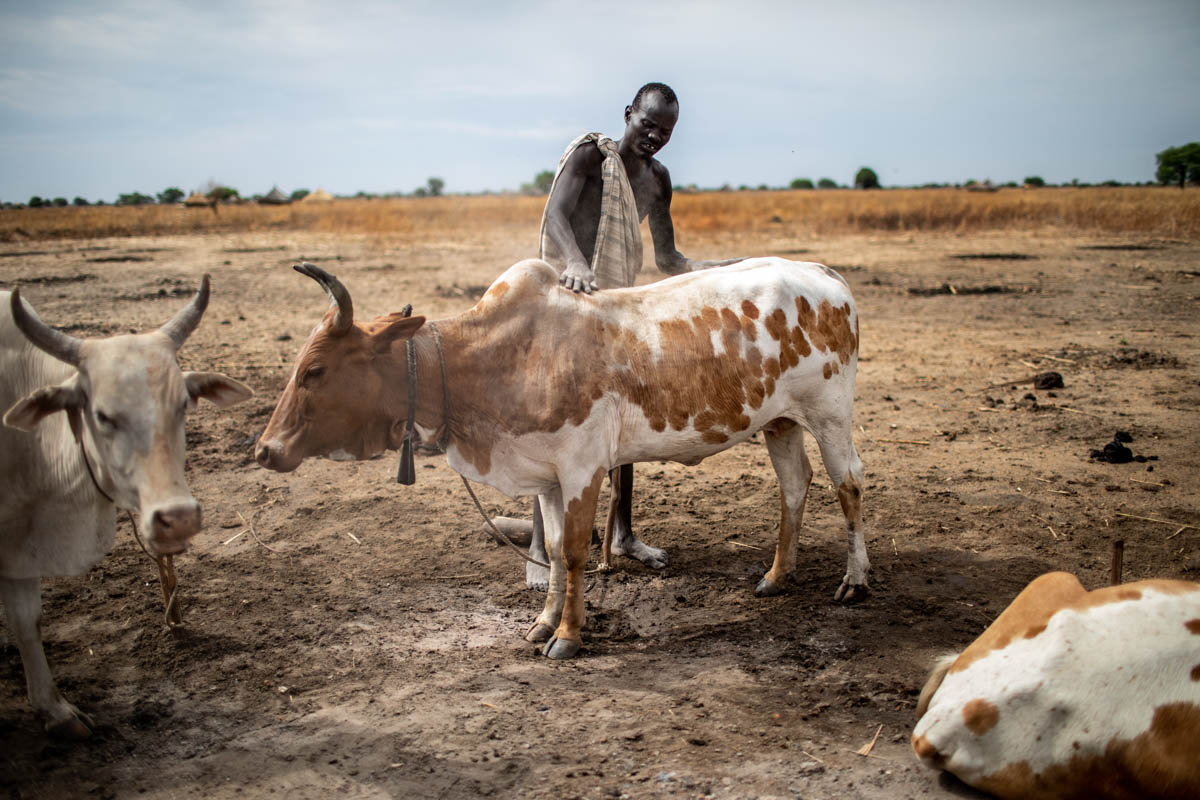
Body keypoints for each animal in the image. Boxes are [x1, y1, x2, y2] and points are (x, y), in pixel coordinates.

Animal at [1, 276, 252, 738]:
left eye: (183, 404)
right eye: (103, 415)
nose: (178, 519)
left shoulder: (21, 541)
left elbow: (28, 620)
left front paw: (56, 711)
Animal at [255, 257, 868, 659]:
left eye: (315, 370)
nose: (264, 449)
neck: (492, 361)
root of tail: (825, 274)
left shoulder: (581, 470)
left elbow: (573, 553)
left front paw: (569, 636)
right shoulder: (545, 478)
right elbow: (549, 551)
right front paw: (542, 622)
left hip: (831, 414)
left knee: (849, 484)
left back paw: (856, 581)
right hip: (780, 421)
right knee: (795, 484)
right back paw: (777, 576)